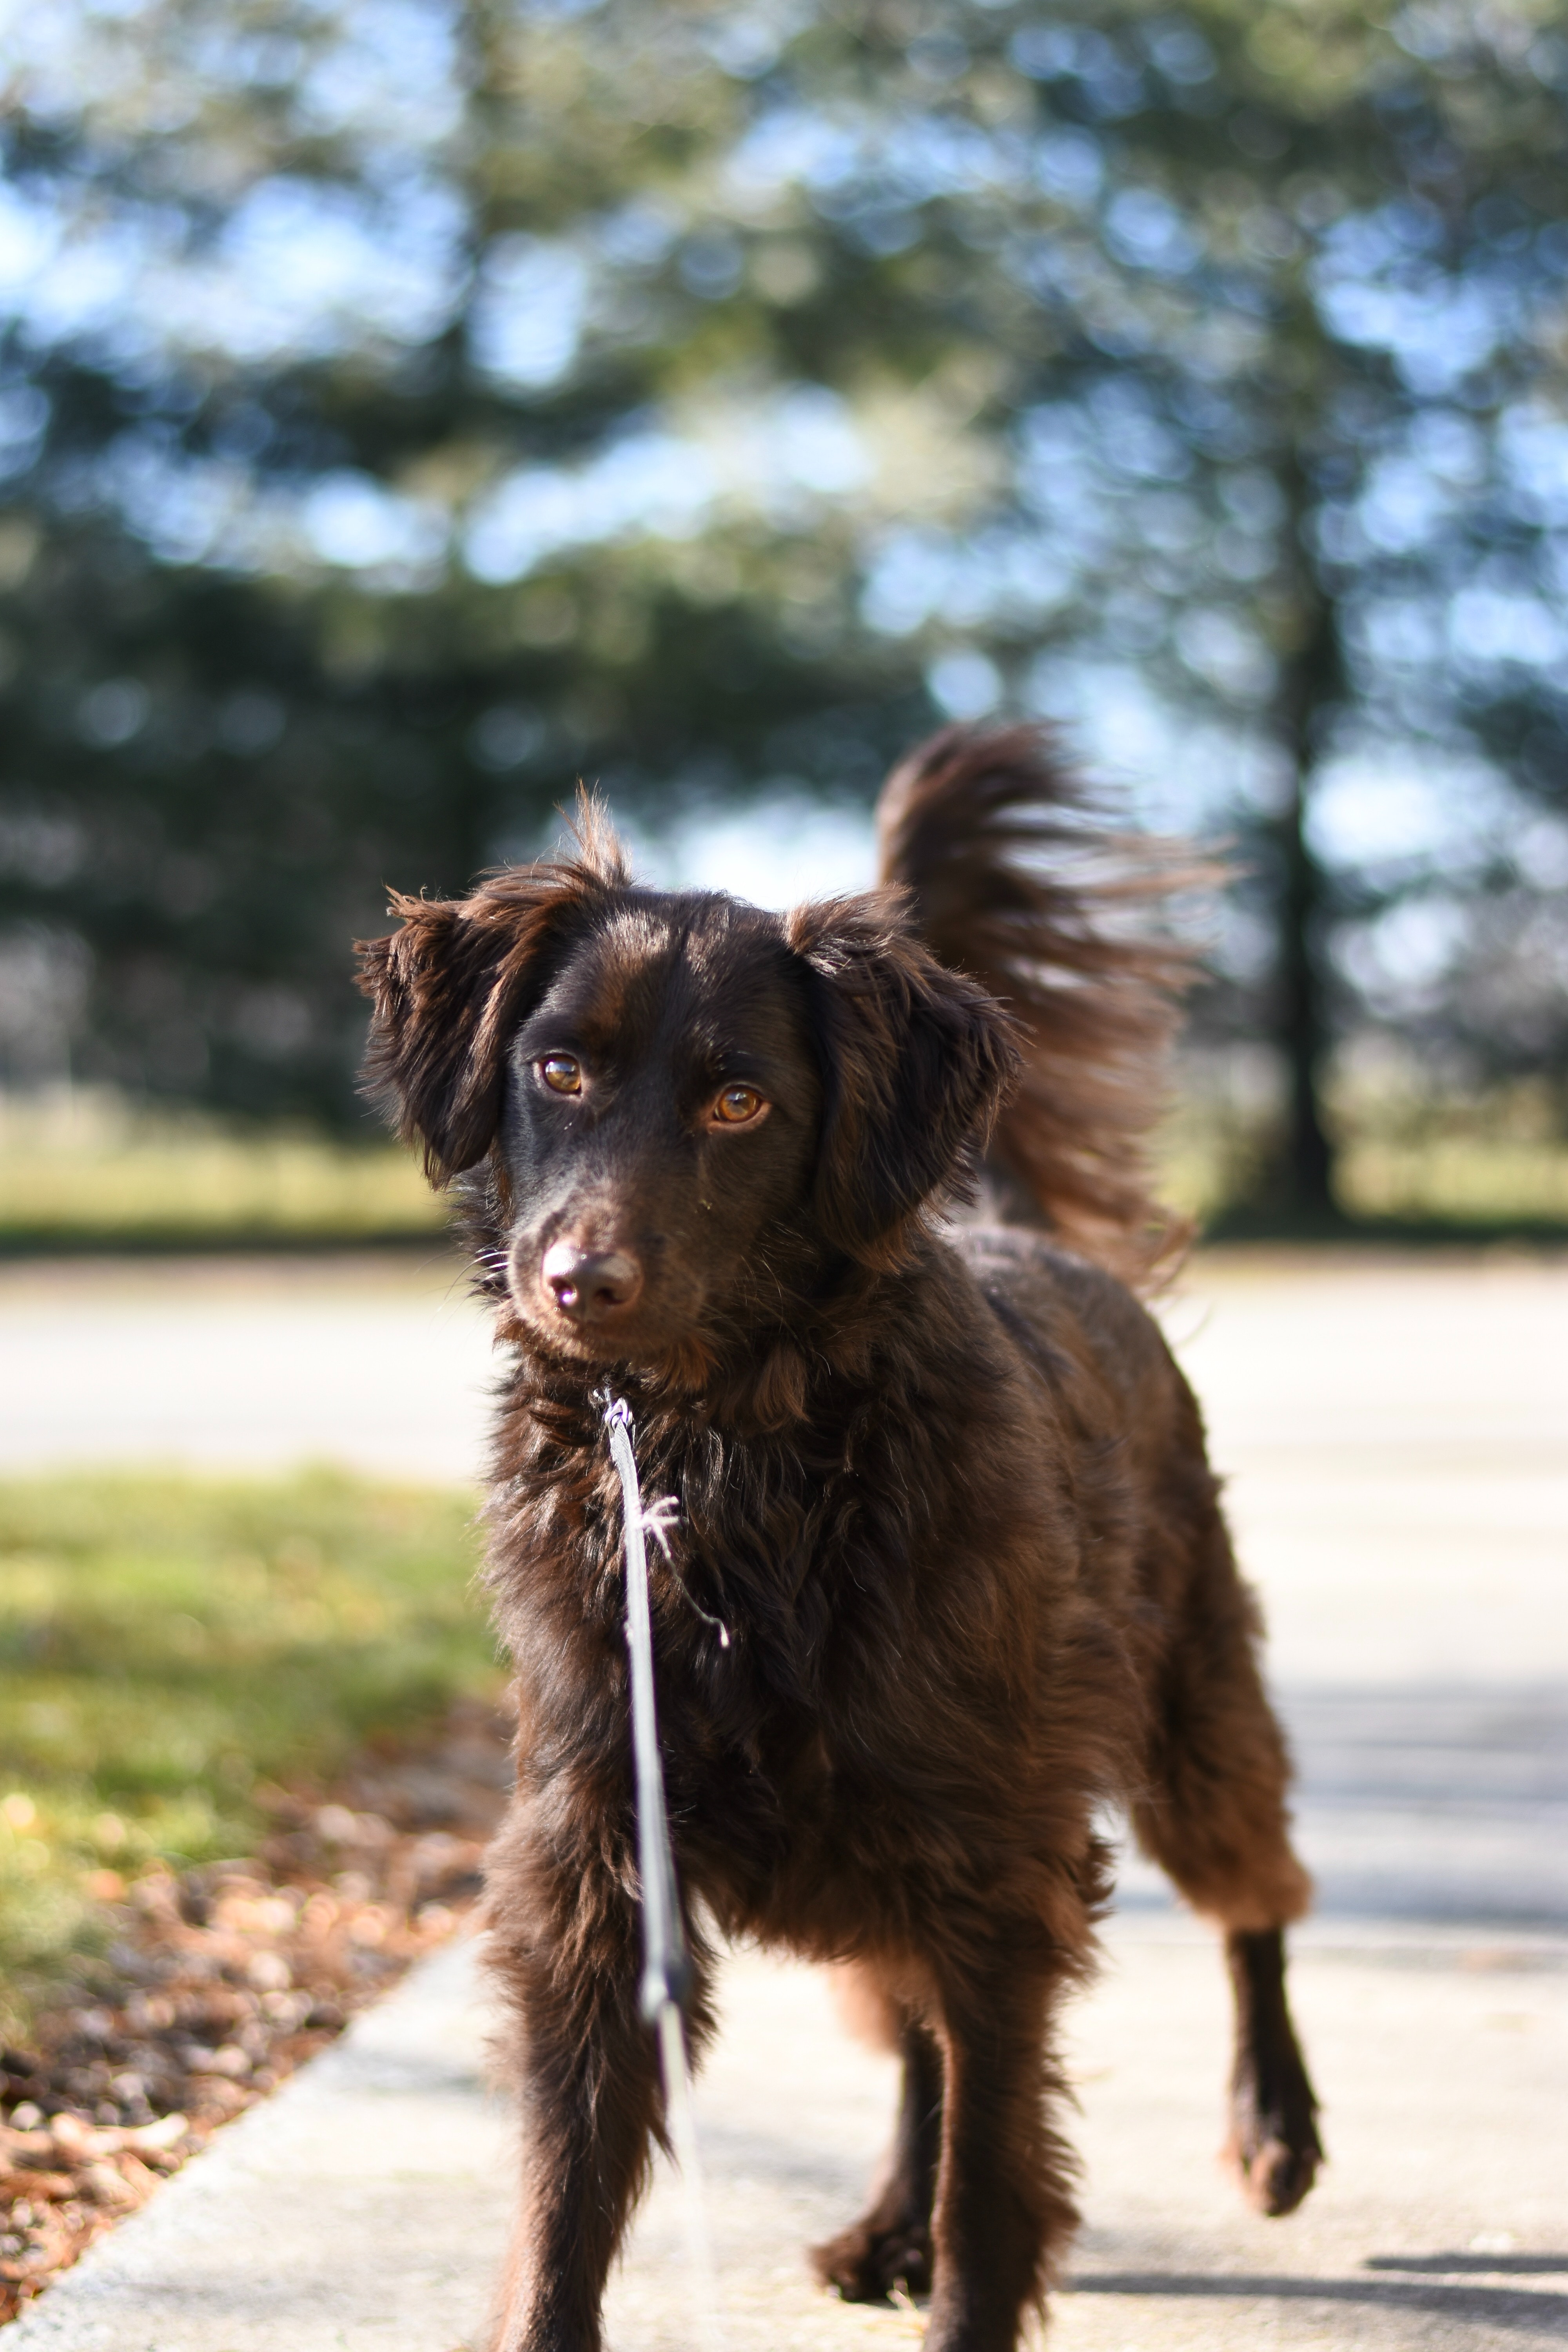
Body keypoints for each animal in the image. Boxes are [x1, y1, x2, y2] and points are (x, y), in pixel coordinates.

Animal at [359, 724, 1326, 2352]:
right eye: (556, 1068)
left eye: (740, 1104)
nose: (579, 1283)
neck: (725, 1457)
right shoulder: (598, 1868)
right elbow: (563, 2198)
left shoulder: (1002, 1860)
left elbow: (994, 2187)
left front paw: (961, 2278)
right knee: (919, 2032)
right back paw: (885, 2218)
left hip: (1181, 1718)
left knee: (1255, 1901)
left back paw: (1275, 2125)